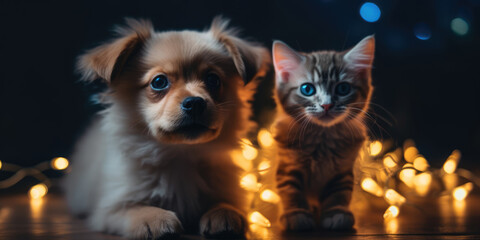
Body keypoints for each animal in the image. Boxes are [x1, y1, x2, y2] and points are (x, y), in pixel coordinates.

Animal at [64, 17, 270, 239]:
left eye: (213, 80)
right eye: (159, 82)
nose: (195, 102)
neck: (180, 154)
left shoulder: (230, 191)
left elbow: (228, 204)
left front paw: (225, 213)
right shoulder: (109, 209)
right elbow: (133, 209)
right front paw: (154, 219)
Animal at [272, 36, 374, 231]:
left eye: (343, 89)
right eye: (307, 89)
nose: (327, 105)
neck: (322, 140)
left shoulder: (343, 170)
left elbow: (339, 193)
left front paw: (336, 213)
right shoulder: (288, 165)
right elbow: (290, 190)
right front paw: (296, 214)